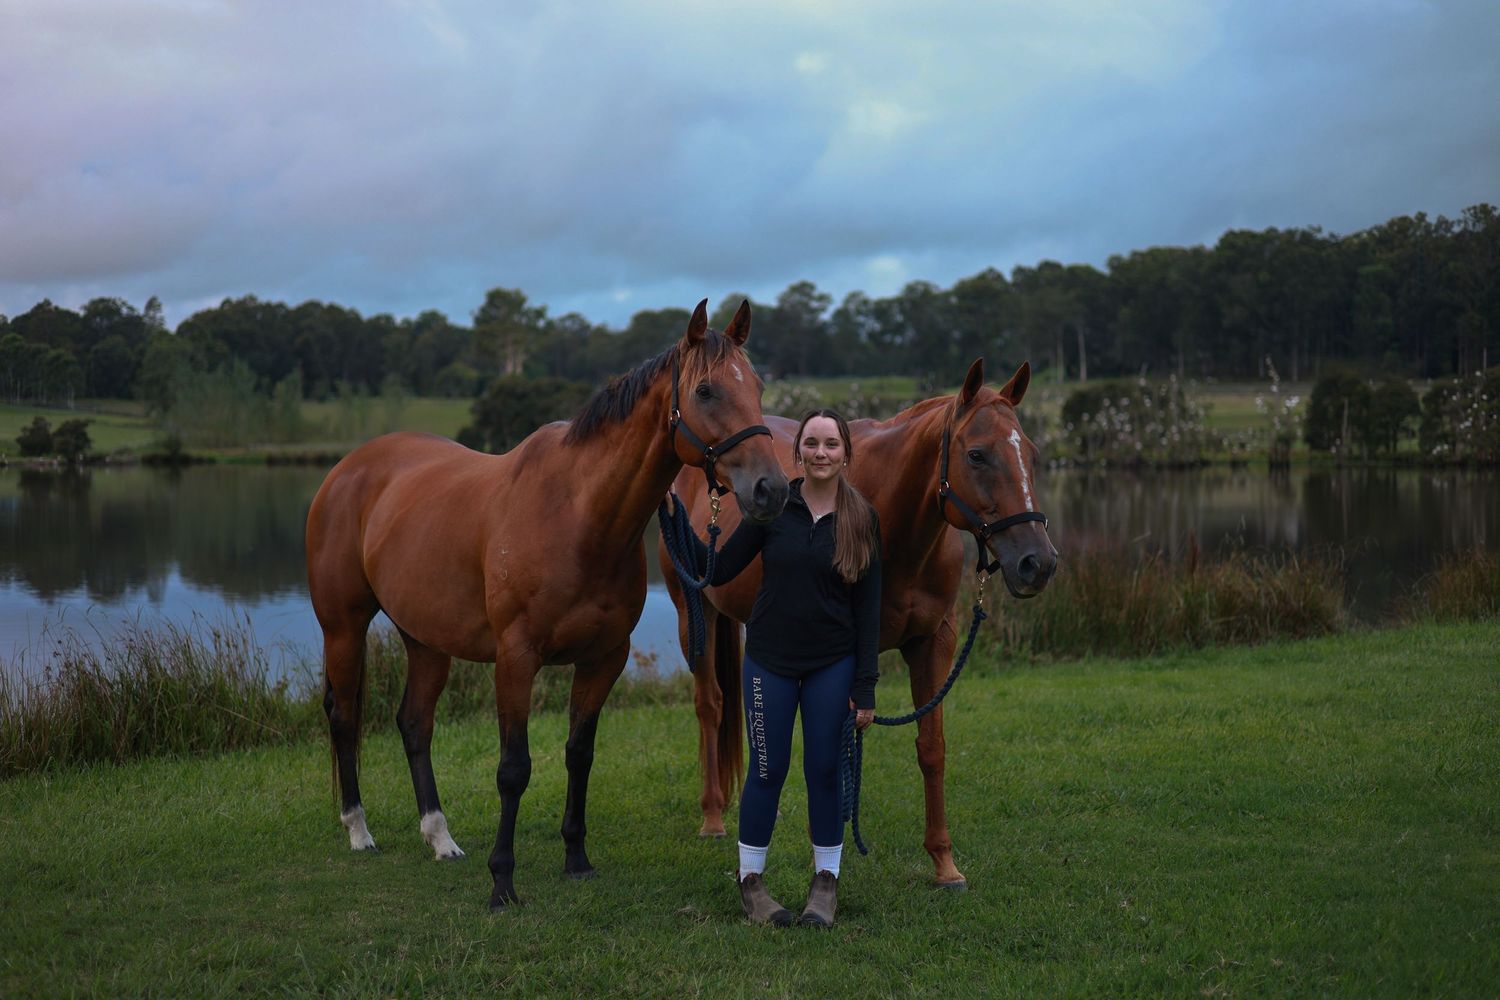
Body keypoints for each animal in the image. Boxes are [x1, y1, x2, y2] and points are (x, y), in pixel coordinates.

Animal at [305, 300, 789, 910]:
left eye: (758, 386)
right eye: (705, 390)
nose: (772, 489)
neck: (578, 515)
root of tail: (349, 468)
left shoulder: (604, 658)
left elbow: (579, 754)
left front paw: (576, 859)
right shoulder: (516, 660)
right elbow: (514, 769)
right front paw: (502, 882)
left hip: (426, 641)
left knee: (415, 724)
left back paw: (441, 838)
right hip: (342, 629)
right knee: (344, 717)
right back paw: (358, 829)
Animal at [659, 358, 1056, 887]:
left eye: (1030, 453)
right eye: (976, 455)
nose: (1038, 562)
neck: (894, 527)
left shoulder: (934, 643)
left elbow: (931, 748)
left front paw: (944, 862)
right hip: (693, 613)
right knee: (710, 705)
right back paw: (712, 816)